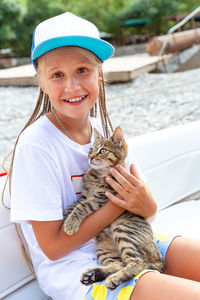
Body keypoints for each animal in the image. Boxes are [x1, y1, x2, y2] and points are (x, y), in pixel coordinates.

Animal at [63, 127, 165, 290]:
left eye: (103, 150)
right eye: (91, 149)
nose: (90, 157)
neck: (98, 175)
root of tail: (160, 259)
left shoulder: (101, 198)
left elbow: (81, 207)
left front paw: (71, 224)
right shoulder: (85, 196)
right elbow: (74, 204)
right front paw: (66, 216)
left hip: (123, 231)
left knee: (138, 263)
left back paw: (114, 279)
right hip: (104, 249)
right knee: (120, 264)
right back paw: (92, 275)